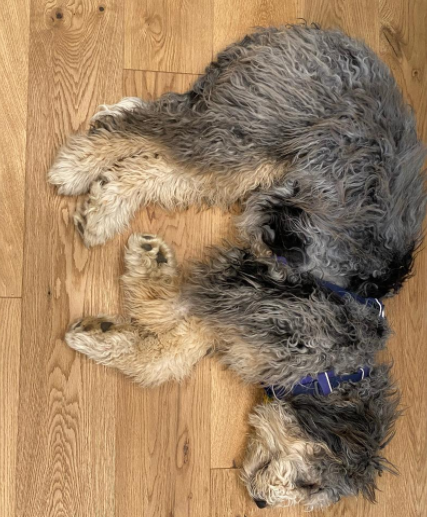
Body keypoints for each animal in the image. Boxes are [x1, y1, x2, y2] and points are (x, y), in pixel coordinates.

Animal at [48, 25, 426, 508]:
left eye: (311, 495)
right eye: (311, 482)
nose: (262, 502)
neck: (329, 366)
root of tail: (320, 34)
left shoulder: (239, 315)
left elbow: (165, 358)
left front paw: (99, 334)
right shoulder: (242, 292)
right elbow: (168, 311)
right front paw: (149, 266)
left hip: (250, 159)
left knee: (160, 159)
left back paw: (104, 198)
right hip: (248, 134)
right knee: (149, 129)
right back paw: (78, 168)